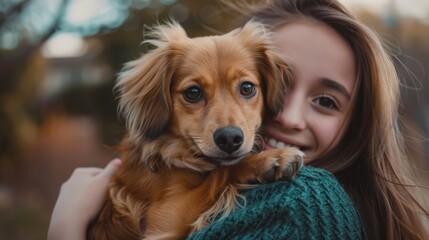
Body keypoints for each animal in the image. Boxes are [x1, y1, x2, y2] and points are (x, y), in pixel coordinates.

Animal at [88, 21, 302, 239]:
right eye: (193, 92)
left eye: (247, 87)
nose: (230, 139)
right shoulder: (163, 219)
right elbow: (222, 172)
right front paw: (271, 158)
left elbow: (220, 171)